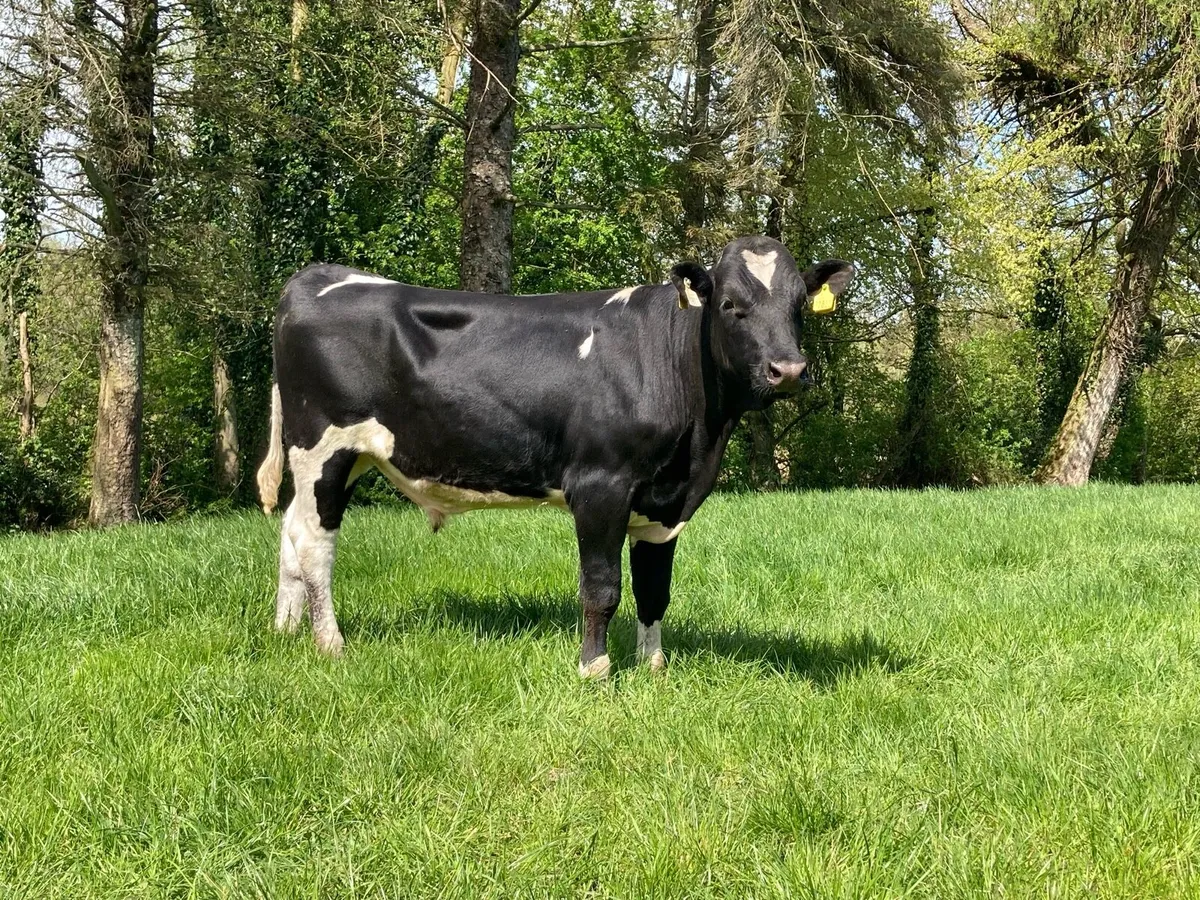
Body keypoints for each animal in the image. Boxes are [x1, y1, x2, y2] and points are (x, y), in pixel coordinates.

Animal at [256, 236, 855, 678]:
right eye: (731, 306)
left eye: (799, 306)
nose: (788, 370)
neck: (700, 440)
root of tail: (313, 278)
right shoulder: (600, 484)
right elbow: (602, 588)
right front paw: (596, 668)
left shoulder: (664, 503)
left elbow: (654, 590)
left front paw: (654, 666)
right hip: (323, 449)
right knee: (314, 543)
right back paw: (330, 644)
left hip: (341, 458)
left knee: (291, 530)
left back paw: (285, 630)